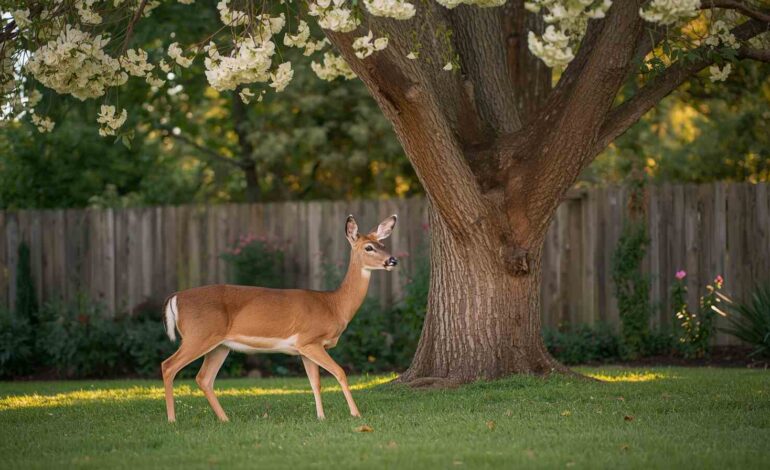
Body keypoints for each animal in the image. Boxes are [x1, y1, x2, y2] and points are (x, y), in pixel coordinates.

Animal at [160, 214, 399, 423]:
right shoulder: (310, 339)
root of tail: (176, 297)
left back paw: (225, 419)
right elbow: (340, 372)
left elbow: (315, 383)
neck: (334, 305)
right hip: (198, 335)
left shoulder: (305, 348)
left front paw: (321, 417)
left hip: (220, 345)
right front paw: (355, 414)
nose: (392, 260)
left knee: (204, 378)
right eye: (369, 247)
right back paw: (172, 420)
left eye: (383, 244)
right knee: (168, 365)